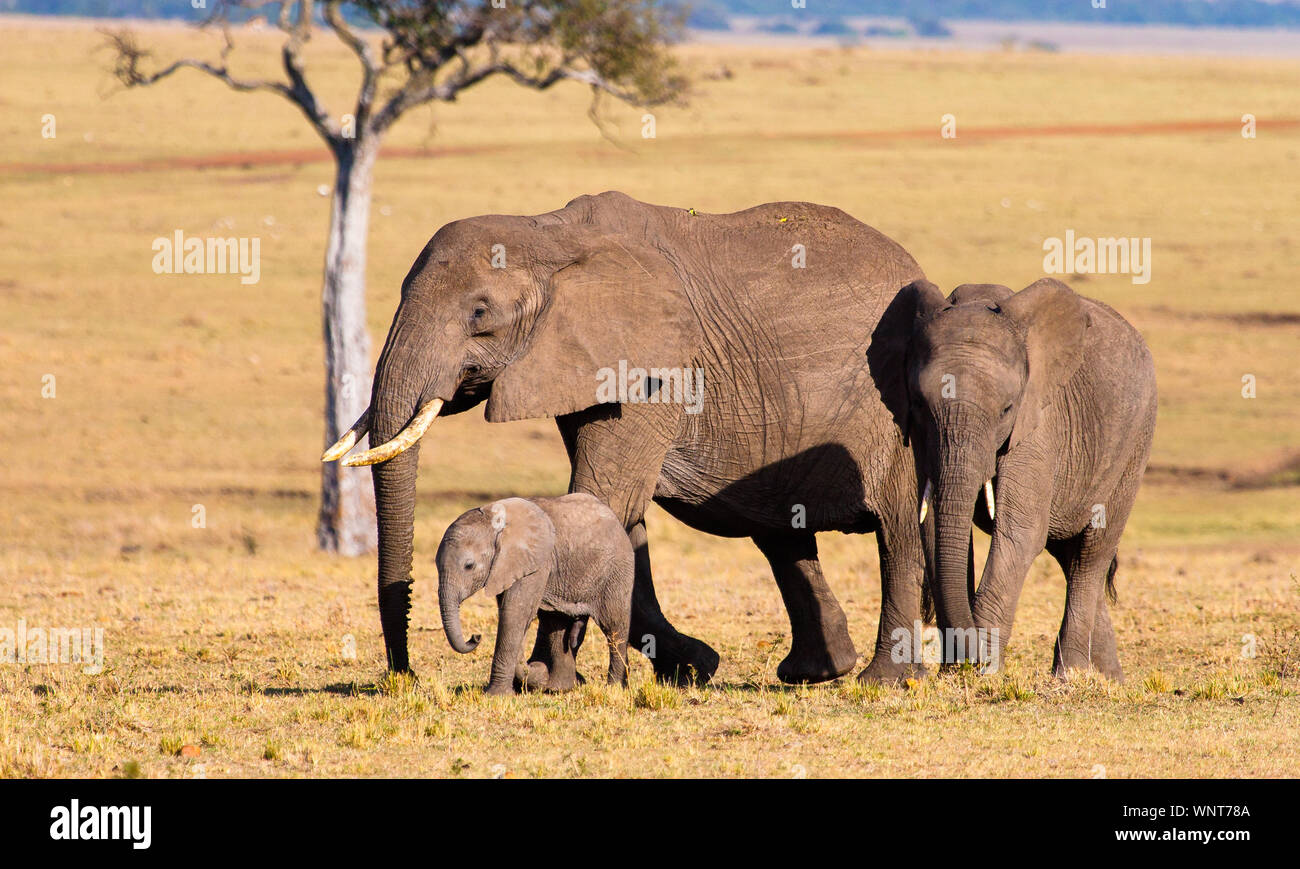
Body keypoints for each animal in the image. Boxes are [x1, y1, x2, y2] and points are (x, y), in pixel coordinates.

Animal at [436, 491, 634, 697]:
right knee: (557, 623)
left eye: (469, 566)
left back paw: (614, 688)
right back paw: (557, 687)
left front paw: (496, 695)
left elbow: (514, 613)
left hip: (617, 569)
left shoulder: (535, 563)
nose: (475, 637)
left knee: (614, 626)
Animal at [894, 278, 1159, 676]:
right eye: (919, 405)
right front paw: (957, 672)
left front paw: (982, 673)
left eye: (1007, 409)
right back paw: (1107, 678)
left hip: (1136, 442)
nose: (967, 657)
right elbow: (935, 528)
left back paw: (1070, 676)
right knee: (1069, 556)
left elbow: (1018, 534)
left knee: (1091, 554)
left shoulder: (1039, 424)